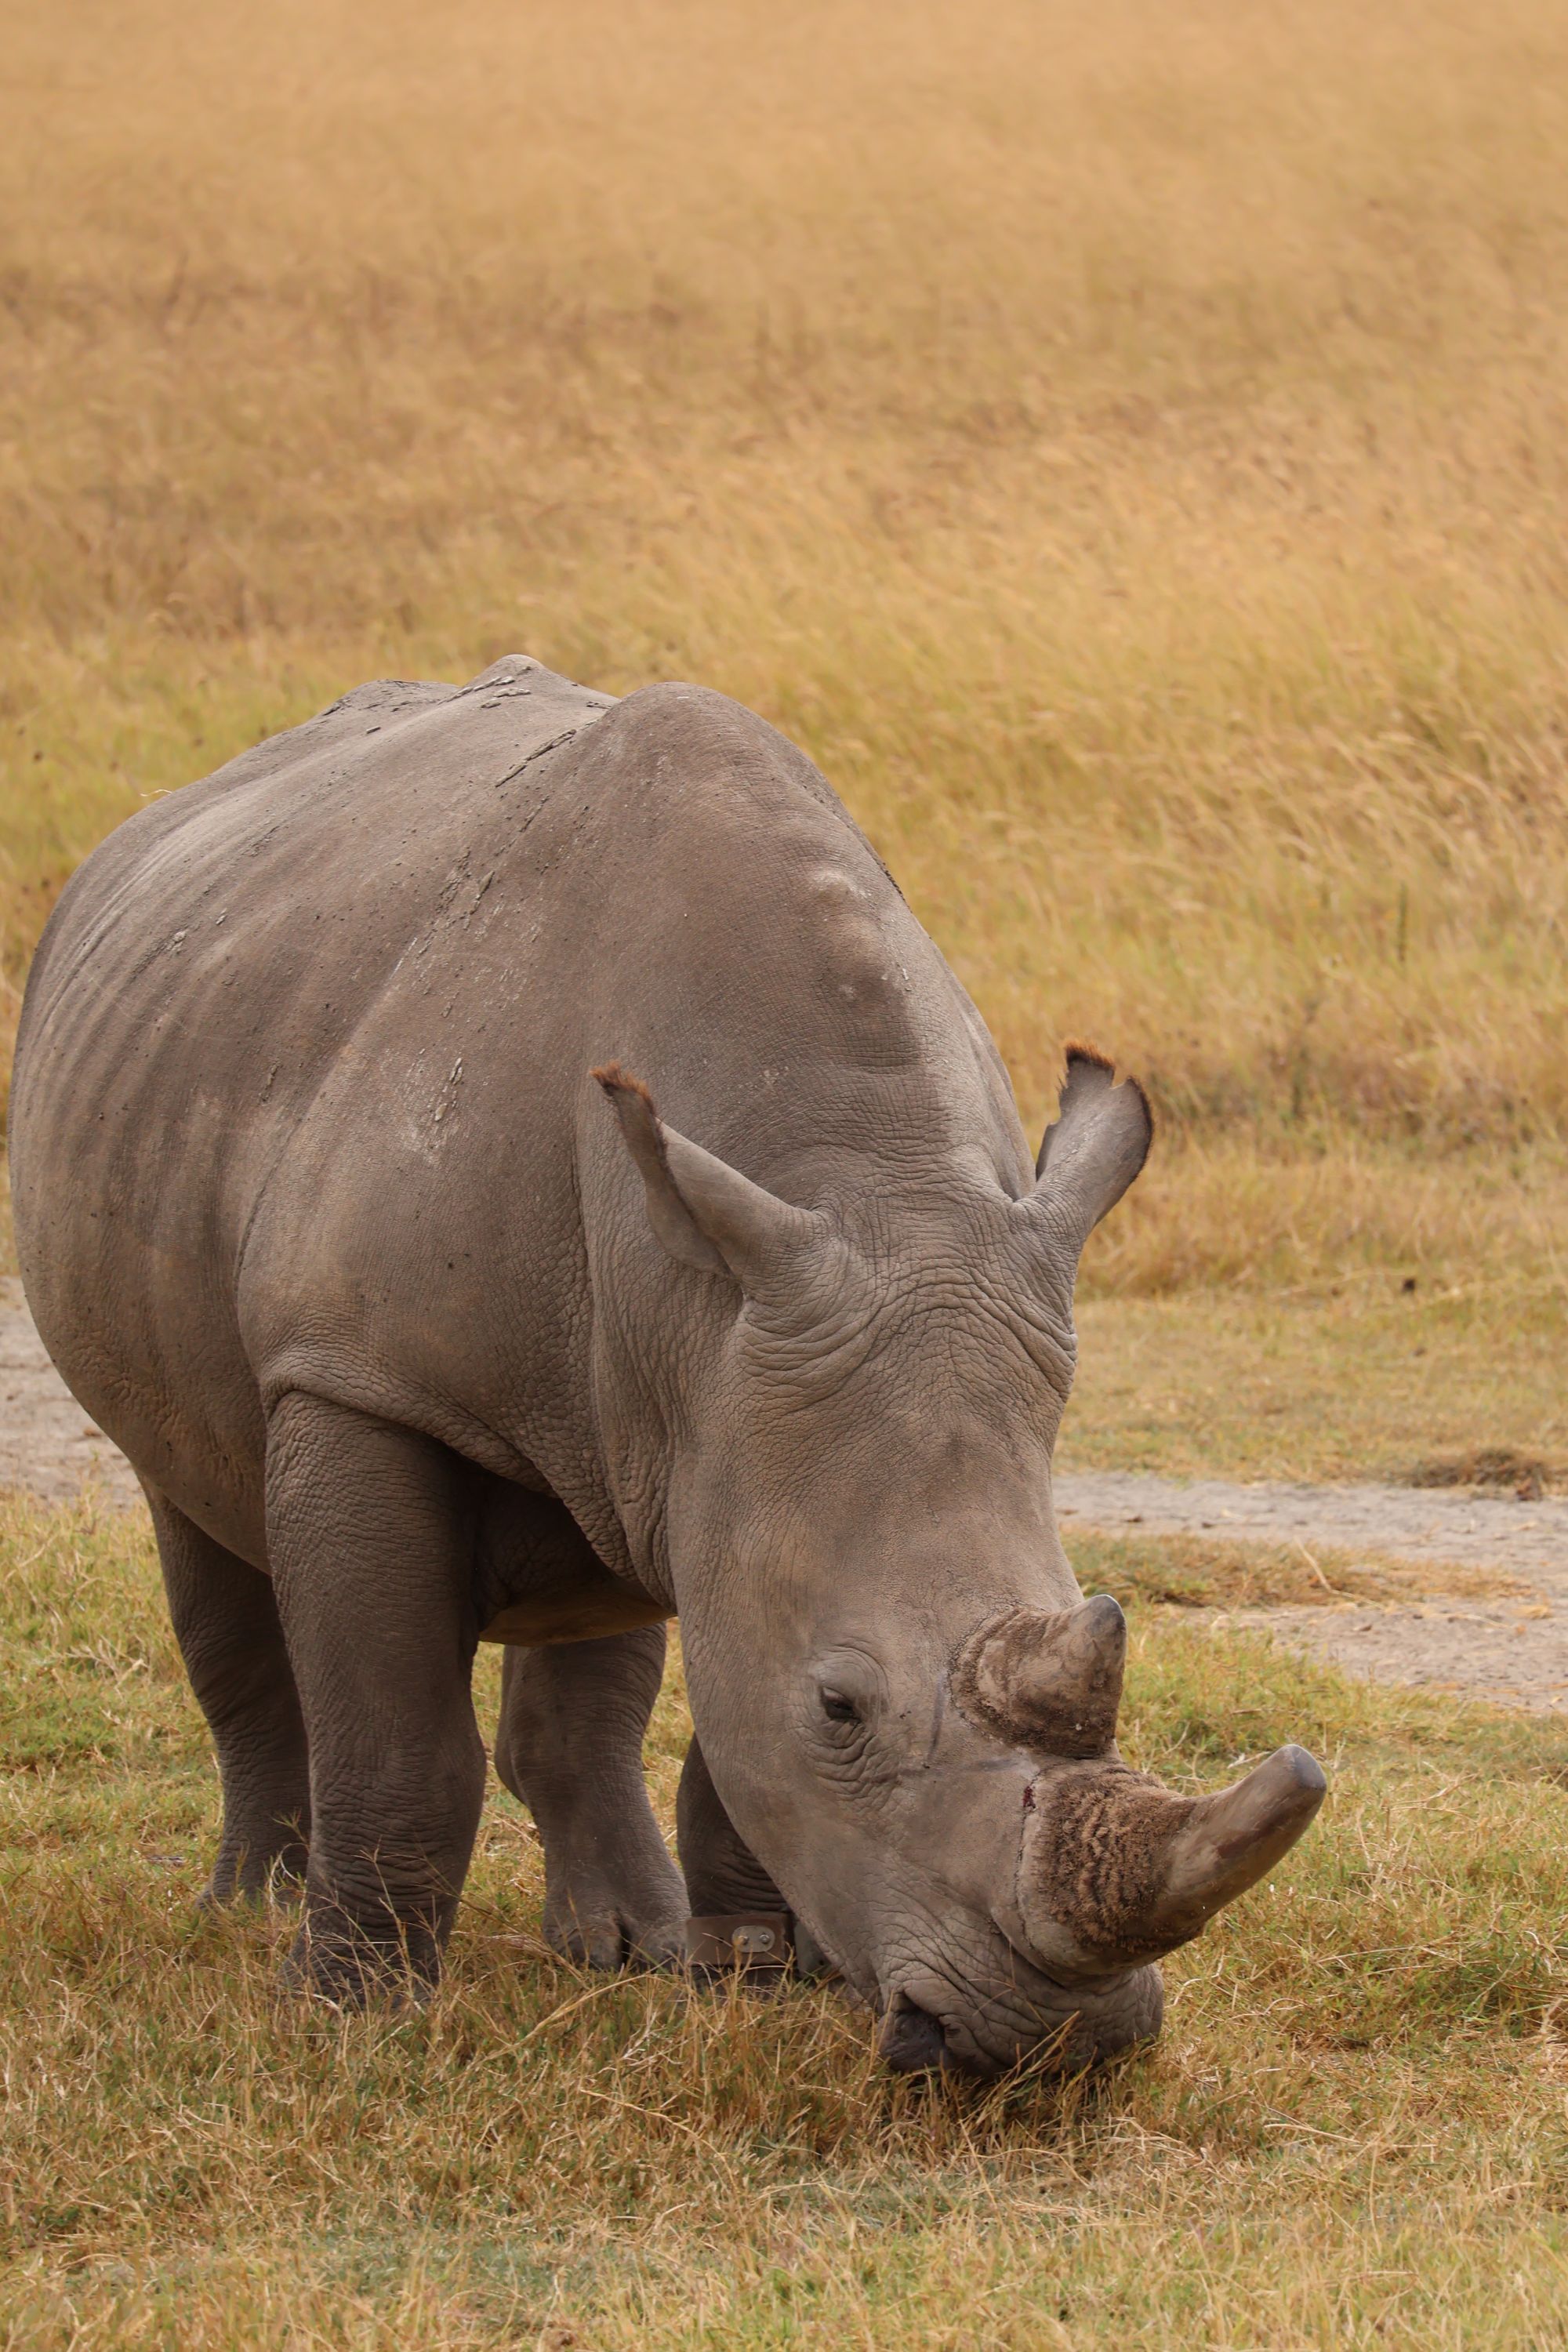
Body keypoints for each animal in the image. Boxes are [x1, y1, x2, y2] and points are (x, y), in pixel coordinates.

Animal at [10, 656, 1325, 2074]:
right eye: (841, 1708)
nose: (1057, 2046)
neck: (870, 1179)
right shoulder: (357, 1374)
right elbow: (398, 1734)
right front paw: (349, 2016)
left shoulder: (738, 1383)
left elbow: (725, 1685)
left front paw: (755, 1975)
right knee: (196, 1521)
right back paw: (249, 1915)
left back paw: (627, 1949)